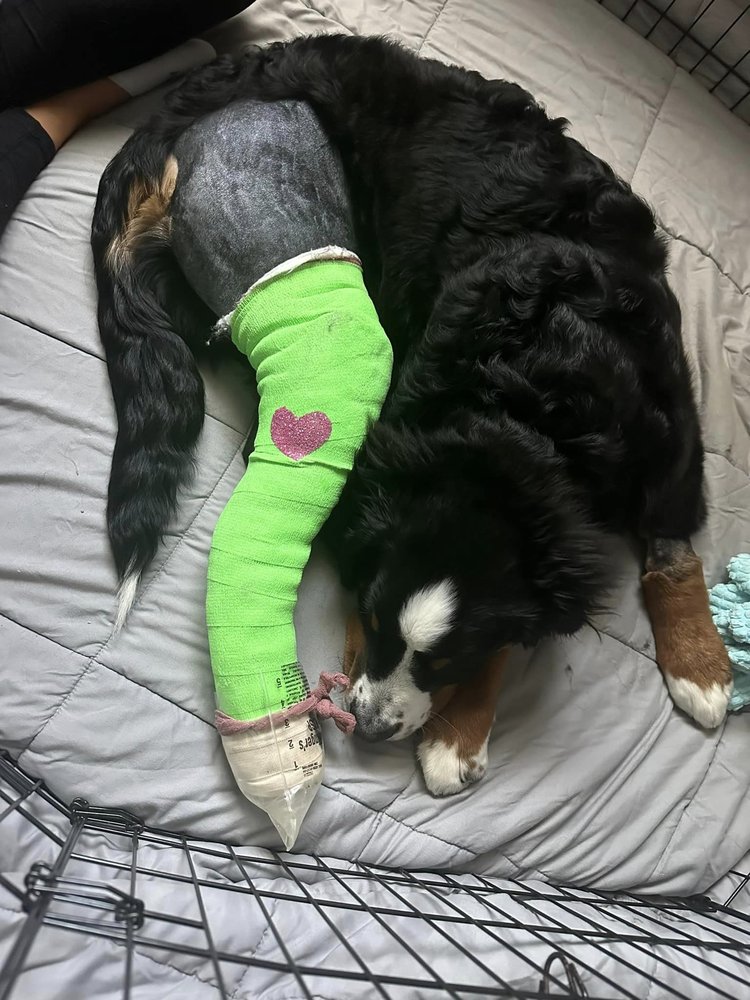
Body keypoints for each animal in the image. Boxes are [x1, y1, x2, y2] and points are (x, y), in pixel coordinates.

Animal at [92, 34, 732, 796]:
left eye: (444, 661)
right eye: (369, 617)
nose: (367, 728)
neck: (530, 409)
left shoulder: (670, 422)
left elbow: (670, 545)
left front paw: (700, 666)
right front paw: (460, 735)